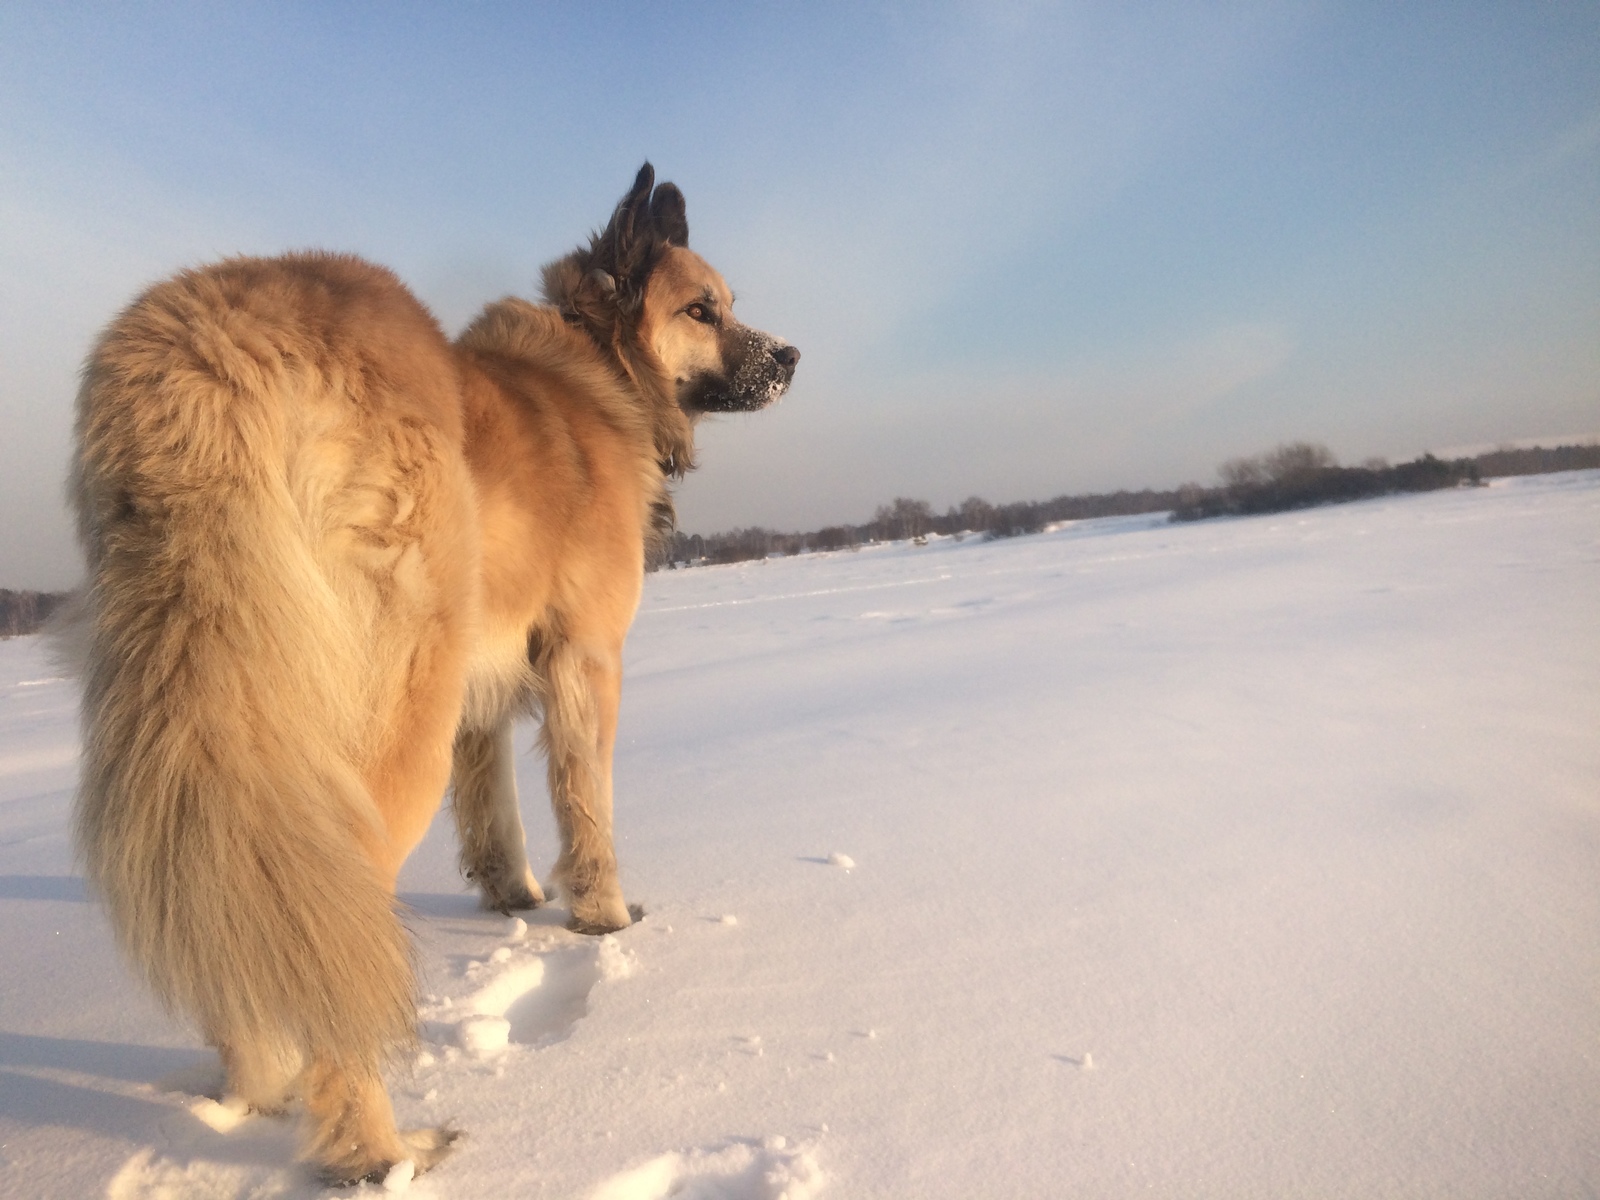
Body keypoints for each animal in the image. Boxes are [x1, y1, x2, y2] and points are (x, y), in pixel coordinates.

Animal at [72, 167, 796, 1184]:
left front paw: (515, 900)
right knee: (328, 934)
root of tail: (207, 353)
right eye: (703, 310)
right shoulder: (585, 660)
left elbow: (492, 807)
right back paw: (376, 1152)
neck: (596, 365)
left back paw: (257, 1085)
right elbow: (586, 802)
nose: (791, 356)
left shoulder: (476, 690)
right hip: (390, 711)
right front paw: (606, 917)